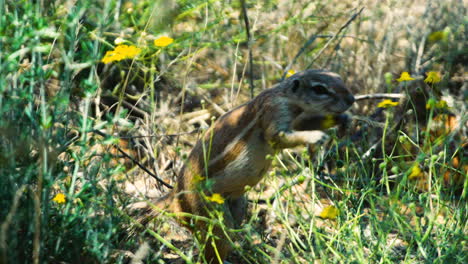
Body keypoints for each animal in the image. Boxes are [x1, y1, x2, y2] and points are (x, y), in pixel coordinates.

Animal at [135, 69, 354, 262]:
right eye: (319, 89)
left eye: (339, 78)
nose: (352, 100)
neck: (286, 96)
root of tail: (175, 196)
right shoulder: (274, 111)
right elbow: (279, 136)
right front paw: (315, 136)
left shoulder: (296, 119)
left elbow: (306, 123)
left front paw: (344, 119)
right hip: (209, 214)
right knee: (213, 246)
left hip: (237, 205)